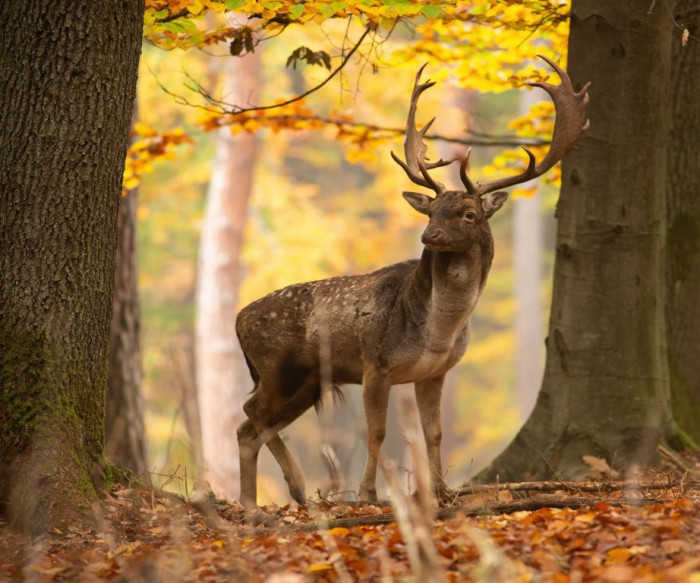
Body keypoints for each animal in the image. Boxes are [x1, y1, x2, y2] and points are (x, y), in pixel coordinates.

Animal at [235, 56, 592, 512]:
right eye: (431, 210)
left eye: (468, 214)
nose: (429, 236)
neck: (436, 333)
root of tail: (238, 320)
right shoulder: (376, 363)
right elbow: (378, 432)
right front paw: (369, 494)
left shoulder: (435, 373)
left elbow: (433, 433)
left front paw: (442, 491)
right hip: (280, 368)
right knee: (251, 413)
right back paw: (296, 487)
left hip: (305, 381)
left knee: (249, 426)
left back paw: (250, 503)